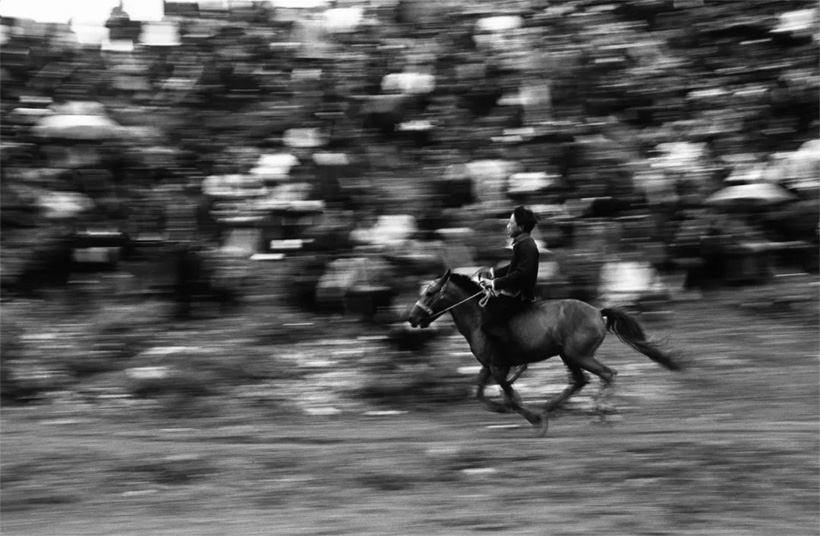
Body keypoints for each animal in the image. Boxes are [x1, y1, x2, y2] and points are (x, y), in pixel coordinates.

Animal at [406, 270, 684, 438]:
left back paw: (601, 414)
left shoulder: (498, 367)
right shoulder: (489, 366)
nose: (412, 318)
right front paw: (504, 408)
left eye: (429, 293)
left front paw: (534, 420)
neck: (478, 317)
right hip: (568, 356)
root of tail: (597, 312)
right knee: (580, 381)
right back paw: (551, 407)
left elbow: (510, 396)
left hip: (579, 356)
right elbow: (481, 394)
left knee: (607, 374)